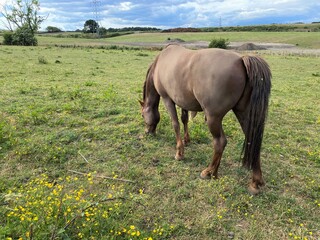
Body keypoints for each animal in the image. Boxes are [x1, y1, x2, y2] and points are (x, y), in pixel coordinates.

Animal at [140, 44, 270, 195]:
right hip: (244, 113)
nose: (148, 132)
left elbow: (175, 124)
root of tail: (241, 60)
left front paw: (179, 153)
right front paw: (187, 140)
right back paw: (254, 182)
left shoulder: (168, 99)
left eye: (142, 115)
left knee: (220, 142)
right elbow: (184, 119)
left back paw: (208, 172)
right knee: (252, 140)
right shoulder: (183, 101)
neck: (160, 62)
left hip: (213, 118)